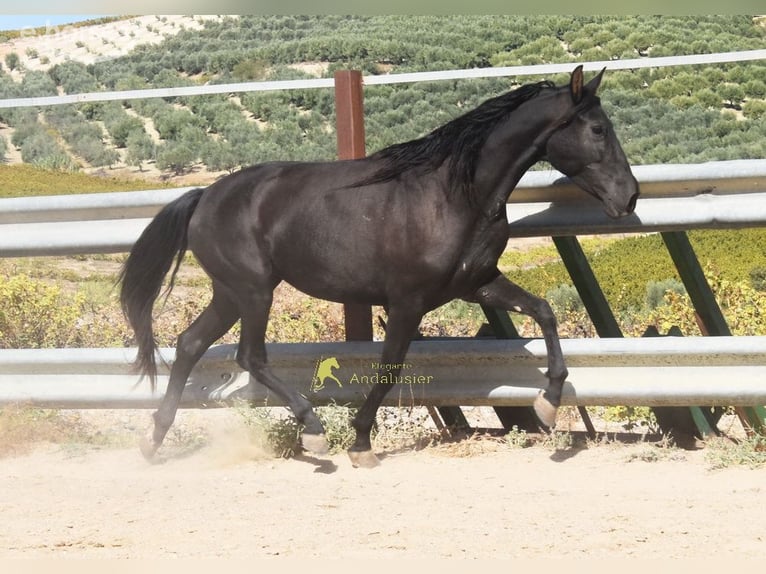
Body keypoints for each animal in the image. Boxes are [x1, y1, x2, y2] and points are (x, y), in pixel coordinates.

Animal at [120, 65, 639, 468]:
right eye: (598, 129)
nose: (629, 196)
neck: (454, 195)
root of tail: (205, 195)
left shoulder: (479, 284)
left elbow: (545, 311)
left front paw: (548, 403)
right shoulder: (407, 301)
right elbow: (389, 369)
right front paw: (361, 443)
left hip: (231, 293)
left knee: (189, 344)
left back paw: (153, 441)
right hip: (254, 291)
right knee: (249, 357)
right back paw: (313, 431)